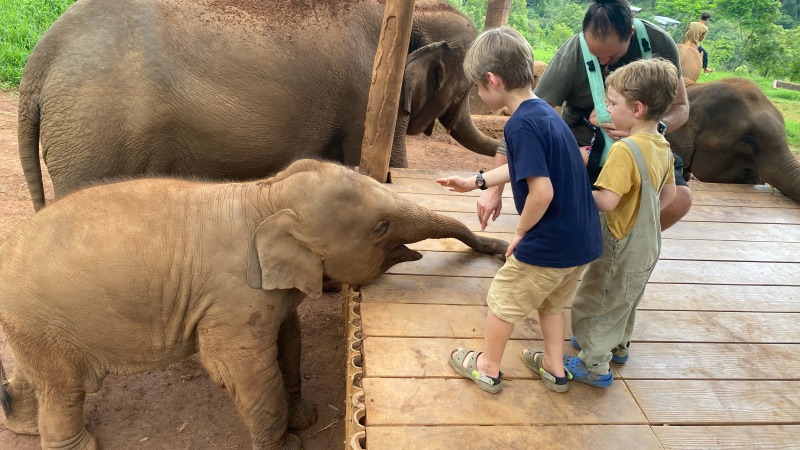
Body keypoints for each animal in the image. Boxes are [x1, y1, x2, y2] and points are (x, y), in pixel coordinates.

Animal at [0, 159, 509, 450]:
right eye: (381, 227)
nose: (500, 248)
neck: (265, 193)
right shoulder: (232, 298)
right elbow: (242, 367)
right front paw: (288, 445)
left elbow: (289, 341)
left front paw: (305, 418)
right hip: (45, 320)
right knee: (64, 389)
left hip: (33, 325)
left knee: (34, 375)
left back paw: (21, 425)